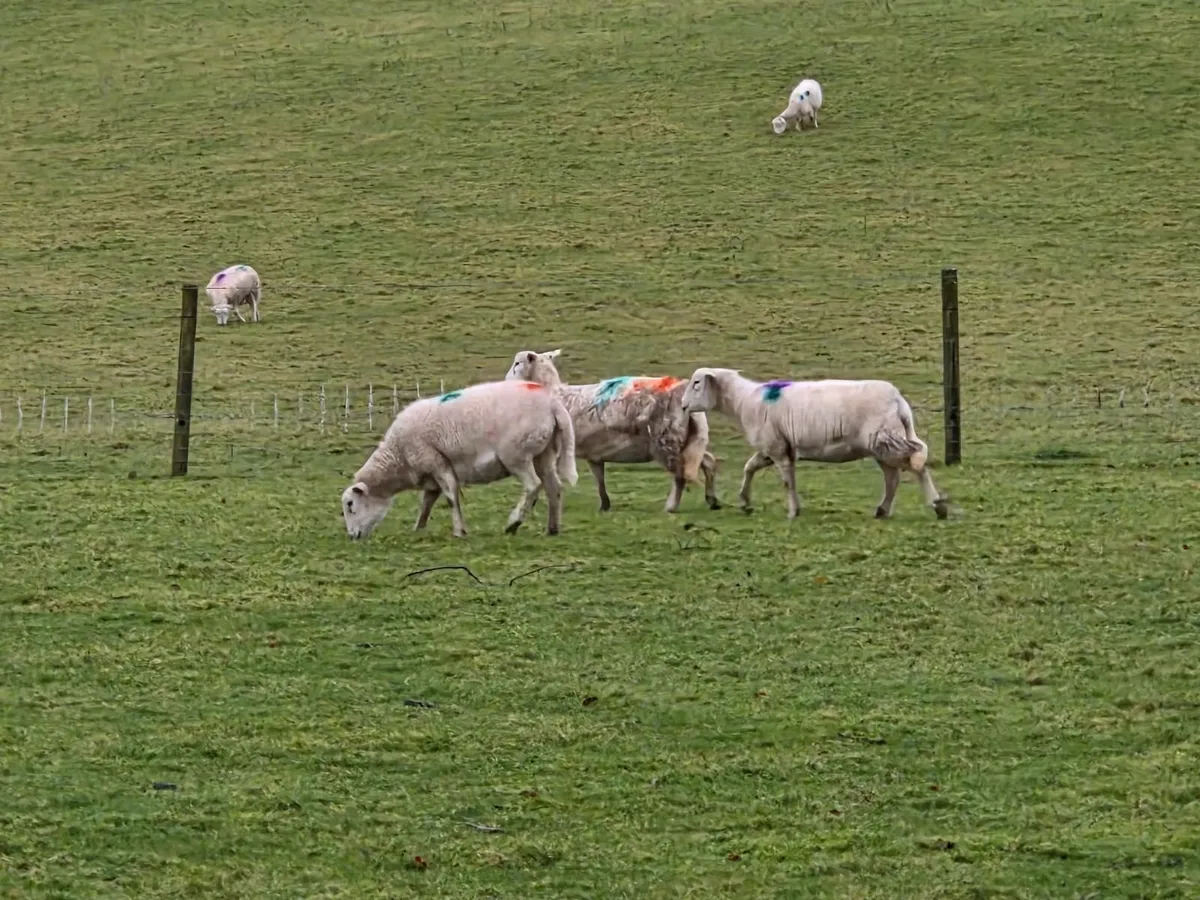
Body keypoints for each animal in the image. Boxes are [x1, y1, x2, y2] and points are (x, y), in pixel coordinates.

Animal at [341, 379, 579, 540]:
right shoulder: (430, 475)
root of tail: (553, 404)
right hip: (544, 453)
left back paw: (513, 523)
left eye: (350, 505)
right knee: (554, 487)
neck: (398, 457)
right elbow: (426, 503)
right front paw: (418, 528)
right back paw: (553, 528)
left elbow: (451, 497)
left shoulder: (436, 462)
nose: (352, 537)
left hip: (516, 454)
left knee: (533, 486)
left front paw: (459, 531)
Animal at [505, 348, 721, 513]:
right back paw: (713, 500)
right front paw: (604, 505)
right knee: (708, 462)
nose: (506, 380)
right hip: (689, 440)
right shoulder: (594, 452)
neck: (553, 391)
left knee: (680, 476)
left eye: (517, 363)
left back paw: (671, 506)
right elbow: (599, 479)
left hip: (666, 439)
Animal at [679, 367, 950, 520]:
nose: (682, 406)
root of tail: (897, 399)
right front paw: (745, 502)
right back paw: (883, 511)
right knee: (894, 477)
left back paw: (938, 506)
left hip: (885, 441)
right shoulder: (775, 446)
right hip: (882, 445)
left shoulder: (777, 449)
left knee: (916, 465)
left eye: (697, 383)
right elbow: (750, 468)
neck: (744, 401)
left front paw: (792, 511)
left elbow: (786, 481)